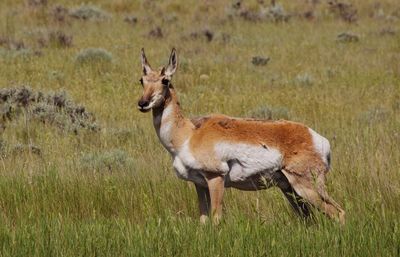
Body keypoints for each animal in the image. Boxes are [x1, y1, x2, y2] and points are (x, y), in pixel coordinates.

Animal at [137, 48, 344, 224]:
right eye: (141, 80)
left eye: (165, 80)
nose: (142, 103)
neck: (188, 134)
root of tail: (316, 138)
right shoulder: (199, 184)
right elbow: (203, 220)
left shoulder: (216, 177)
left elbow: (216, 219)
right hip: (290, 189)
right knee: (309, 218)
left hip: (306, 186)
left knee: (338, 212)